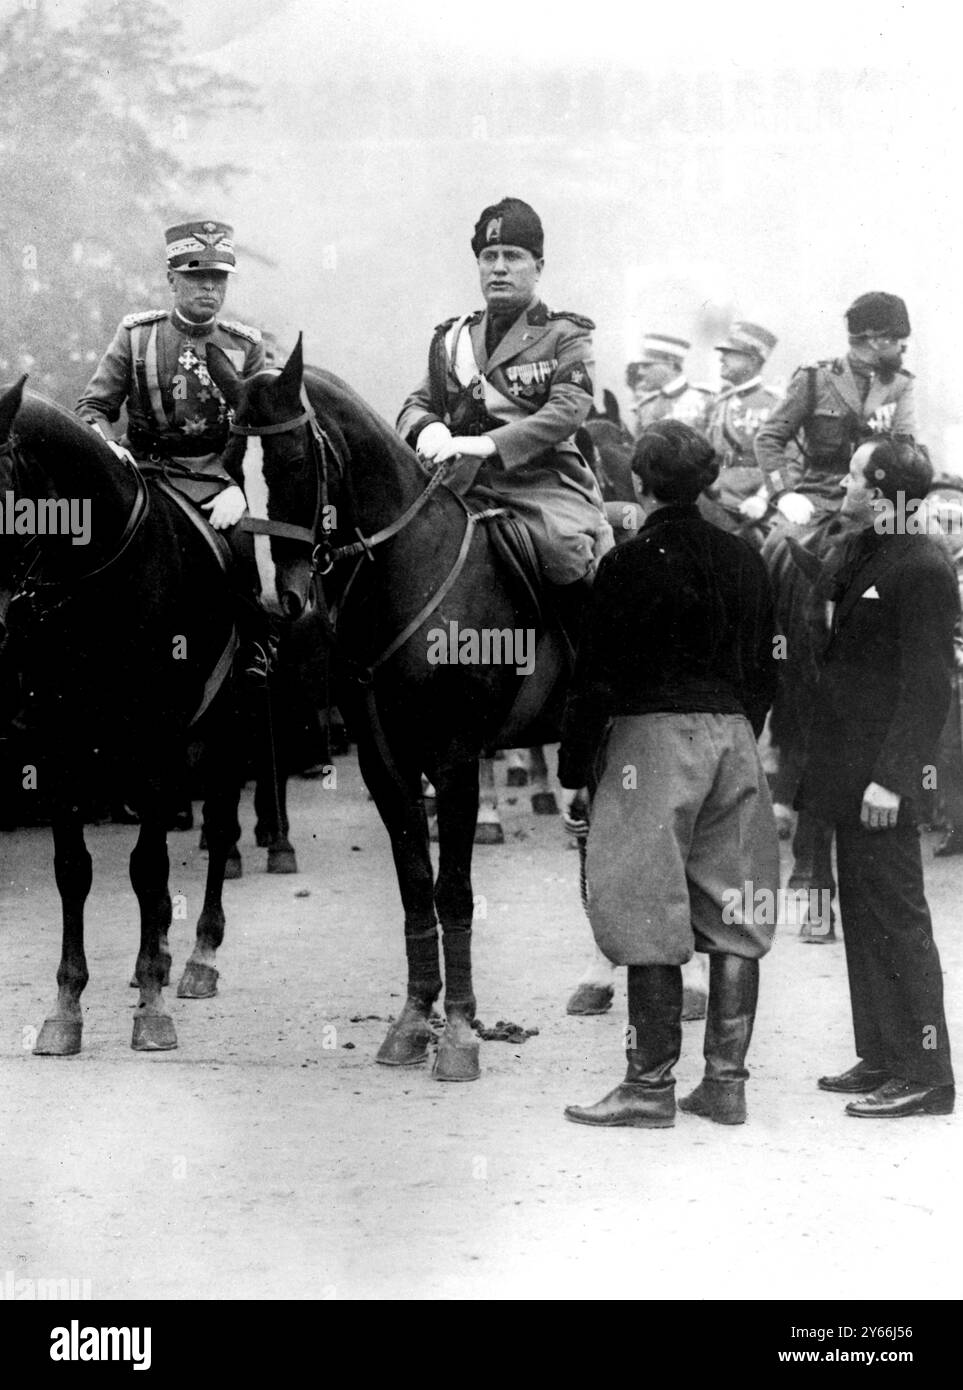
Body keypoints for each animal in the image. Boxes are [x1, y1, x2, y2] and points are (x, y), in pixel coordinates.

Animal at [0, 380, 247, 1050]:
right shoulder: (56, 741)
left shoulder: (158, 738)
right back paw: (157, 956)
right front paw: (65, 1009)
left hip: (220, 732)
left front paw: (155, 1011)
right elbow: (73, 870)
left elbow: (147, 866)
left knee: (219, 831)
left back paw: (198, 959)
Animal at [207, 341, 558, 1078]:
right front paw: (414, 1020)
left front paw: (459, 1033)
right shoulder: (382, 760)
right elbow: (414, 886)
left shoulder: (453, 757)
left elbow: (453, 890)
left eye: (290, 461)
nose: (271, 601)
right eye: (227, 462)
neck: (405, 569)